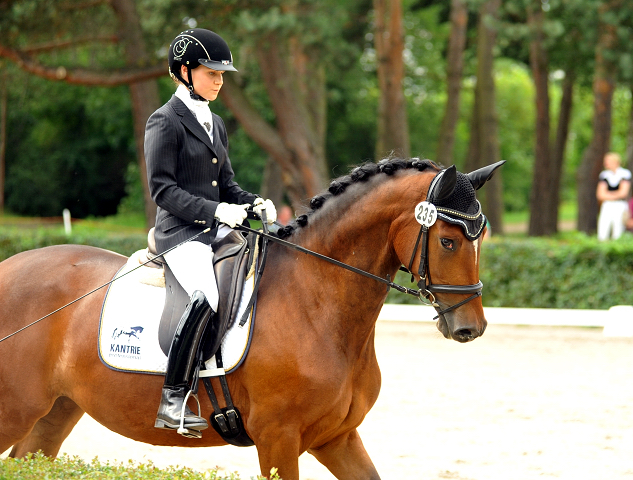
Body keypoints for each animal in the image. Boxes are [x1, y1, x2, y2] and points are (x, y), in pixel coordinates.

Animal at [0, 159, 504, 478]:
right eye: (447, 242)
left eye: (481, 238)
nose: (470, 328)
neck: (316, 302)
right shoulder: (278, 439)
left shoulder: (337, 436)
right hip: (15, 408)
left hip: (56, 410)